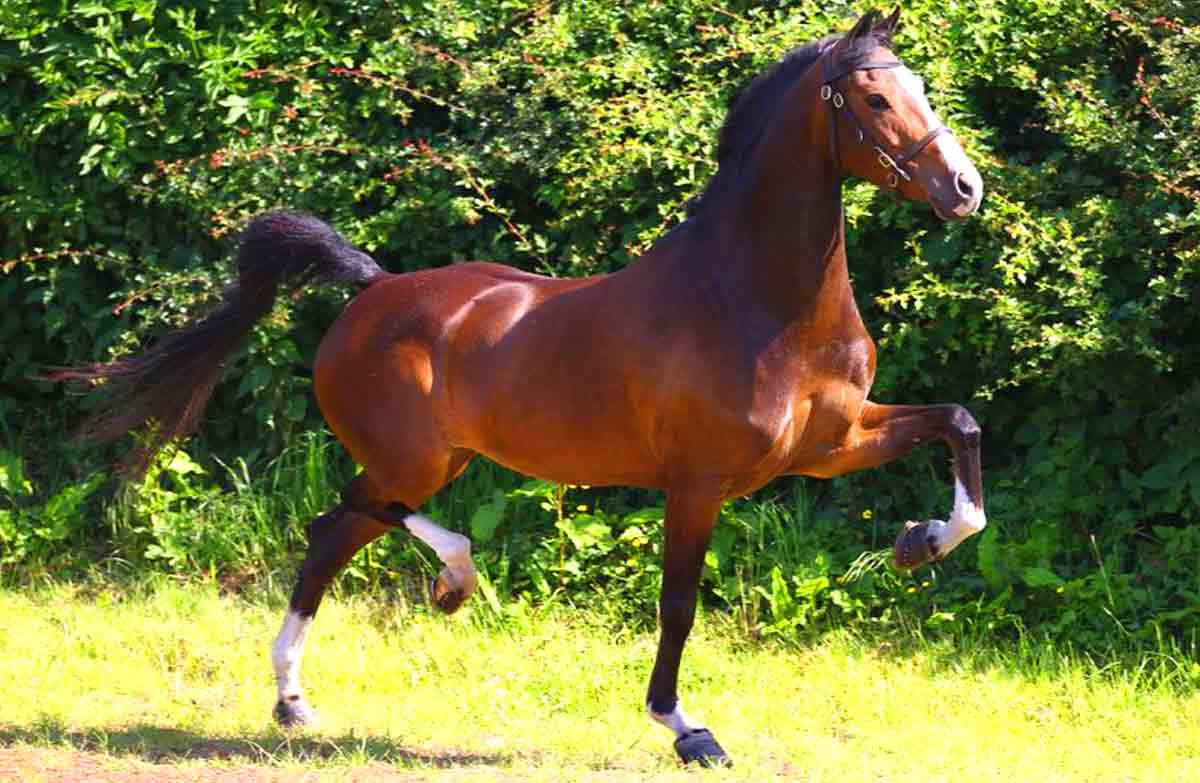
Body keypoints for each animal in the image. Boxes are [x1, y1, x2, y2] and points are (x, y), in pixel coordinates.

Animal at [60, 8, 985, 767]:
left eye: (918, 86)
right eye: (873, 99)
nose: (965, 188)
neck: (759, 299)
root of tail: (370, 289)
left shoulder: (831, 444)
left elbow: (960, 425)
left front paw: (918, 541)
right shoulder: (699, 482)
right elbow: (678, 604)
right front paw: (688, 729)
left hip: (432, 459)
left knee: (335, 533)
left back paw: (294, 702)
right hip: (415, 461)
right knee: (355, 514)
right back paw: (450, 583)